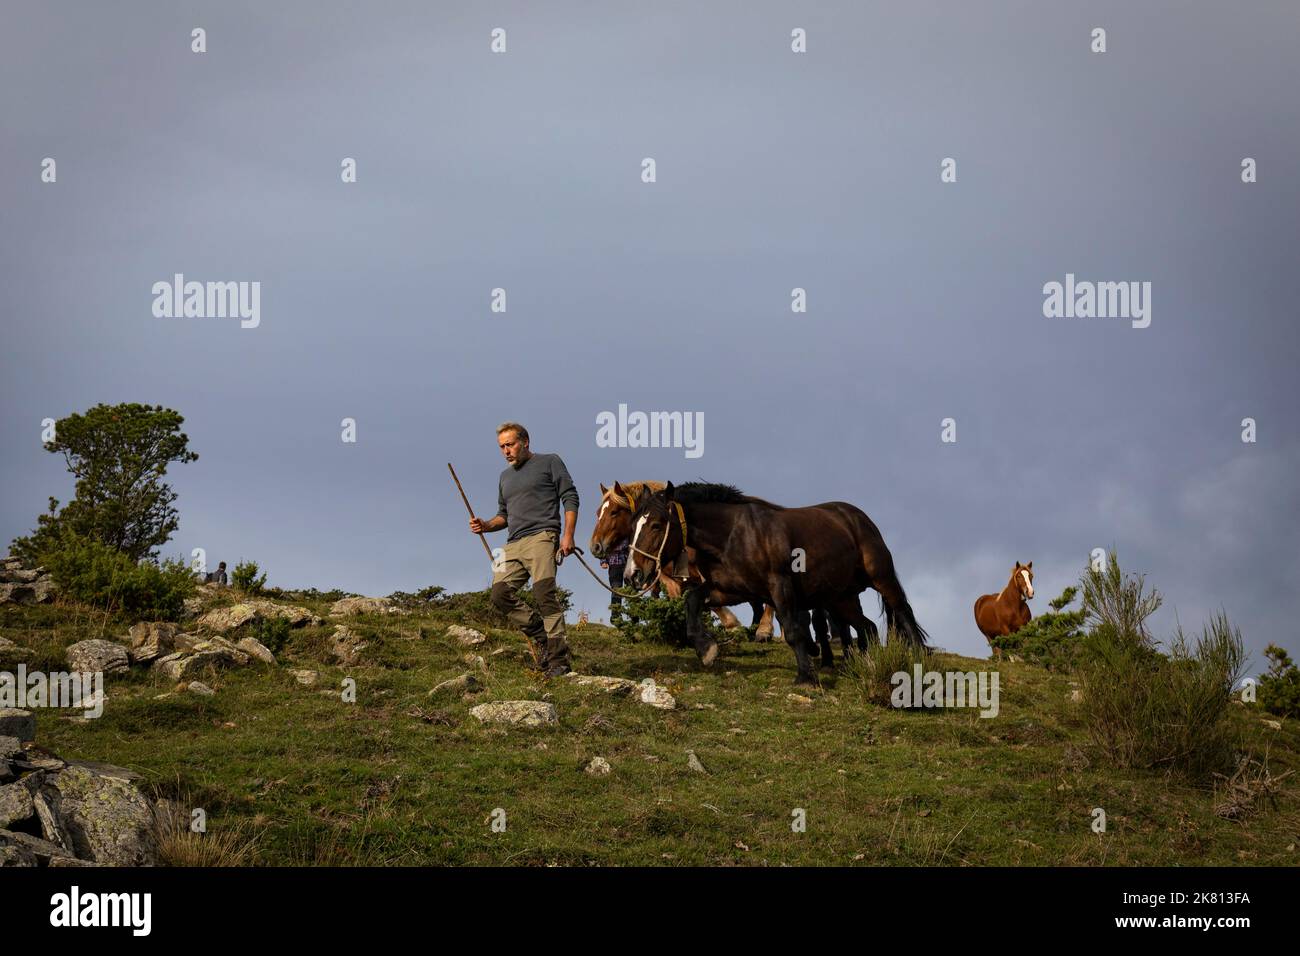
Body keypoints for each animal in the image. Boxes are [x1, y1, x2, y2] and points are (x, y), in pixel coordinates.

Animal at [626, 486, 925, 681]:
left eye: (656, 525)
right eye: (634, 524)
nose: (633, 574)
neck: (732, 535)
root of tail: (856, 517)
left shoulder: (779, 587)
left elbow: (793, 630)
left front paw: (806, 677)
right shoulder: (730, 590)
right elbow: (692, 601)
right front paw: (706, 650)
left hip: (881, 578)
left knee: (904, 613)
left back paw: (920, 658)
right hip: (840, 597)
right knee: (869, 627)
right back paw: (871, 665)